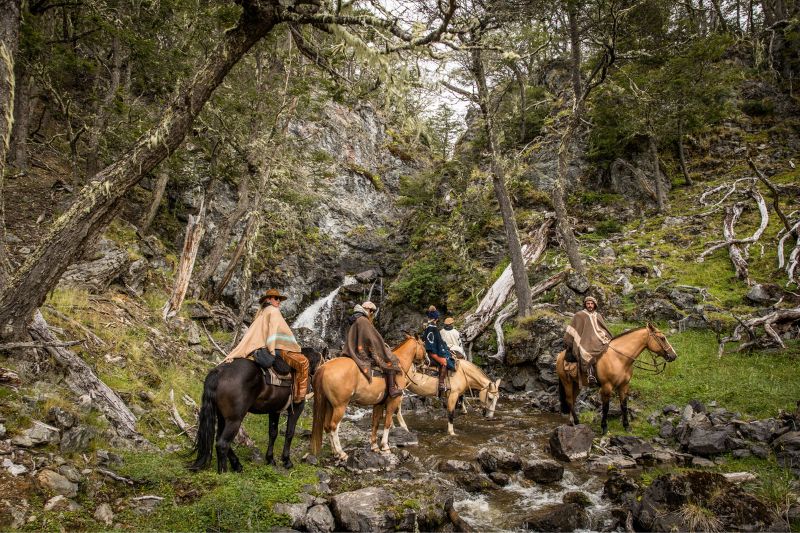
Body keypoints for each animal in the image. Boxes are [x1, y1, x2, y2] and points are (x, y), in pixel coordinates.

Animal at [188, 347, 324, 473]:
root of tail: (219, 371)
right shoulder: (297, 407)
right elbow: (289, 433)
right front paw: (286, 461)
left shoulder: (274, 410)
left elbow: (273, 433)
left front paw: (270, 459)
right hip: (234, 419)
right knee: (222, 443)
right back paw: (224, 472)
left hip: (222, 416)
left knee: (218, 438)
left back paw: (236, 465)